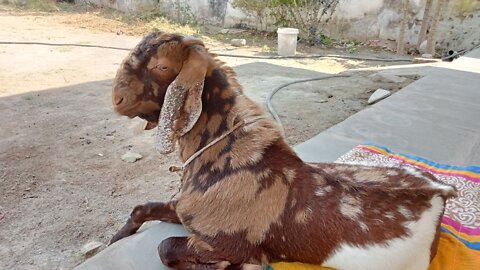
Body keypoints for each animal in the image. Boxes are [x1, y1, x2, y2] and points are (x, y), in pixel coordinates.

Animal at [110, 32, 456, 270]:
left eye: (162, 65)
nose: (117, 99)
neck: (222, 152)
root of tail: (442, 190)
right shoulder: (183, 208)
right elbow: (141, 208)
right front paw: (117, 237)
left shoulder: (228, 242)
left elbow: (165, 247)